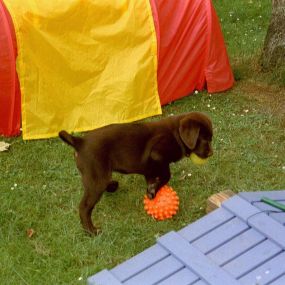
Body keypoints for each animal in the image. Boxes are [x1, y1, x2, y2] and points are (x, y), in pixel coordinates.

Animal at [58, 111, 212, 233]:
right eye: (204, 139)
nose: (211, 153)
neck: (176, 135)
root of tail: (80, 142)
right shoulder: (157, 156)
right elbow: (167, 174)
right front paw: (153, 189)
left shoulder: (149, 168)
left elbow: (153, 176)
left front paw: (152, 188)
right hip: (96, 177)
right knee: (84, 207)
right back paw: (91, 231)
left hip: (97, 176)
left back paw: (112, 185)